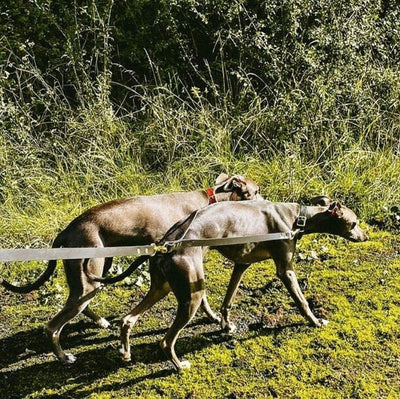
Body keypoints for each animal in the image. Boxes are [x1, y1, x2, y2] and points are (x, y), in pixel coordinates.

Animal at [0, 173, 260, 364]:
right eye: (256, 191)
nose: (265, 201)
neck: (209, 201)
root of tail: (66, 231)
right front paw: (218, 320)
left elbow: (204, 298)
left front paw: (214, 317)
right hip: (89, 279)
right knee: (52, 327)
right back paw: (64, 358)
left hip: (94, 275)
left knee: (80, 305)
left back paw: (101, 322)